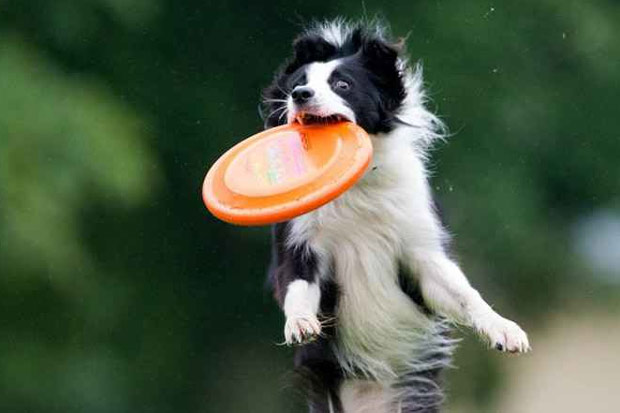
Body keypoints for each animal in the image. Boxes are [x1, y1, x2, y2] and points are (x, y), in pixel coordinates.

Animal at [262, 20, 528, 412]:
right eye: (299, 81)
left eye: (343, 84)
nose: (300, 94)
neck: (356, 188)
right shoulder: (299, 244)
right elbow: (296, 286)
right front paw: (299, 324)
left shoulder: (421, 250)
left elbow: (465, 293)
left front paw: (505, 329)